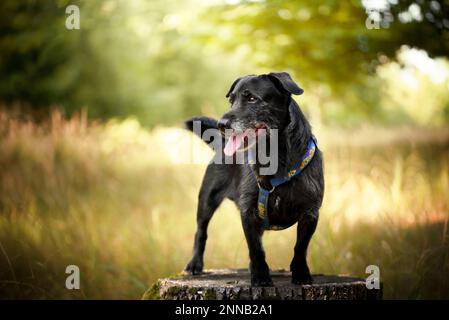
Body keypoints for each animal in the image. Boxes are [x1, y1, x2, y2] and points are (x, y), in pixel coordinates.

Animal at [184, 72, 324, 284]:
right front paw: (260, 276)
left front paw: (300, 273)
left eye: (251, 98)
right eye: (231, 100)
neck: (275, 156)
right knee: (201, 232)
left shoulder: (310, 212)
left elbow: (300, 247)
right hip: (207, 200)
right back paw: (195, 264)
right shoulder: (248, 212)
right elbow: (255, 249)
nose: (221, 124)